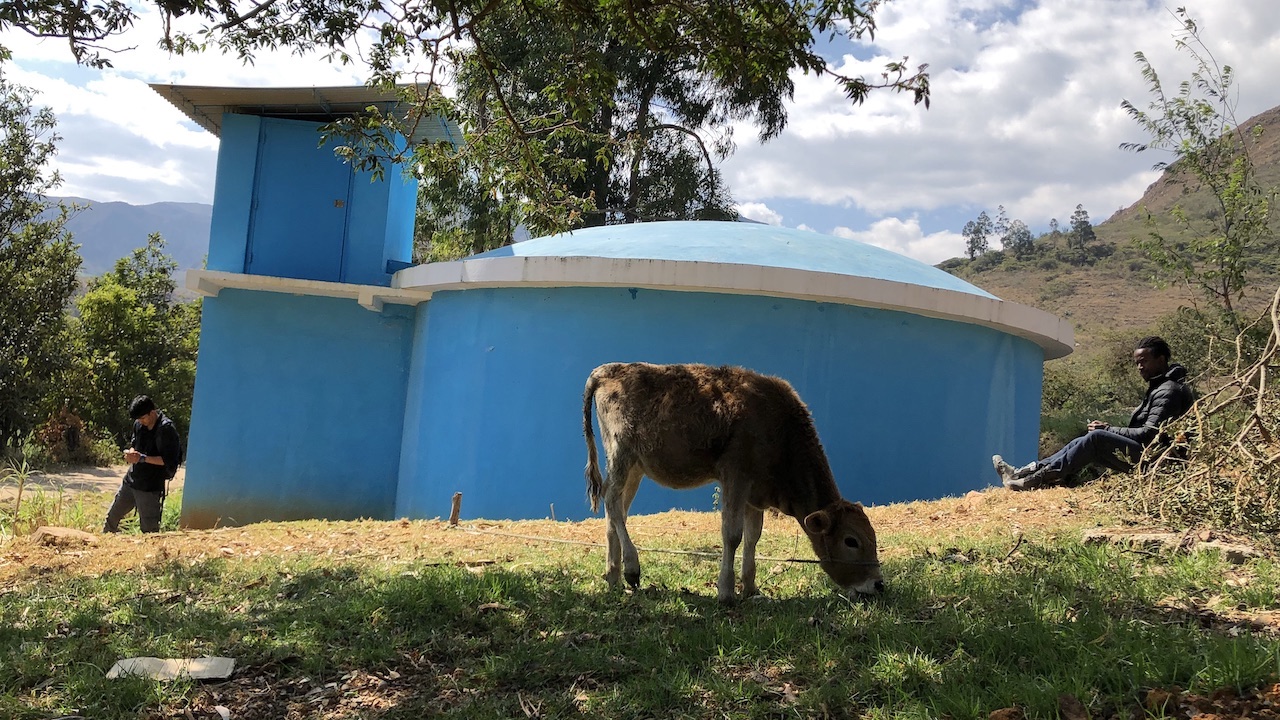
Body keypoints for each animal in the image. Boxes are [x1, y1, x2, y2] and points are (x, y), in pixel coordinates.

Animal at [581, 358, 880, 599]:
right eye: (851, 540)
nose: (878, 584)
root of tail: (608, 369)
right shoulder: (735, 476)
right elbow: (733, 534)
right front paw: (726, 591)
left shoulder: (755, 492)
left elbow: (753, 537)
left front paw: (750, 588)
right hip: (621, 452)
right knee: (611, 500)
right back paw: (631, 568)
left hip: (635, 468)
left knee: (616, 511)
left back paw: (614, 577)